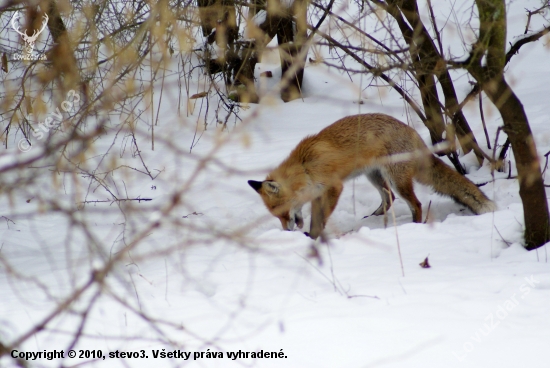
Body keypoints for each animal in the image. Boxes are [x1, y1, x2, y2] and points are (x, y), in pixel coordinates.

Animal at [248, 113, 498, 239]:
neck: (305, 167)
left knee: (415, 203)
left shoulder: (333, 187)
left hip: (396, 179)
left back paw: (414, 226)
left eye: (282, 214)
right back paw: (375, 217)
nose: (286, 231)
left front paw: (313, 237)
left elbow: (319, 219)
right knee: (389, 198)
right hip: (375, 176)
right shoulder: (318, 192)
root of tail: (413, 132)